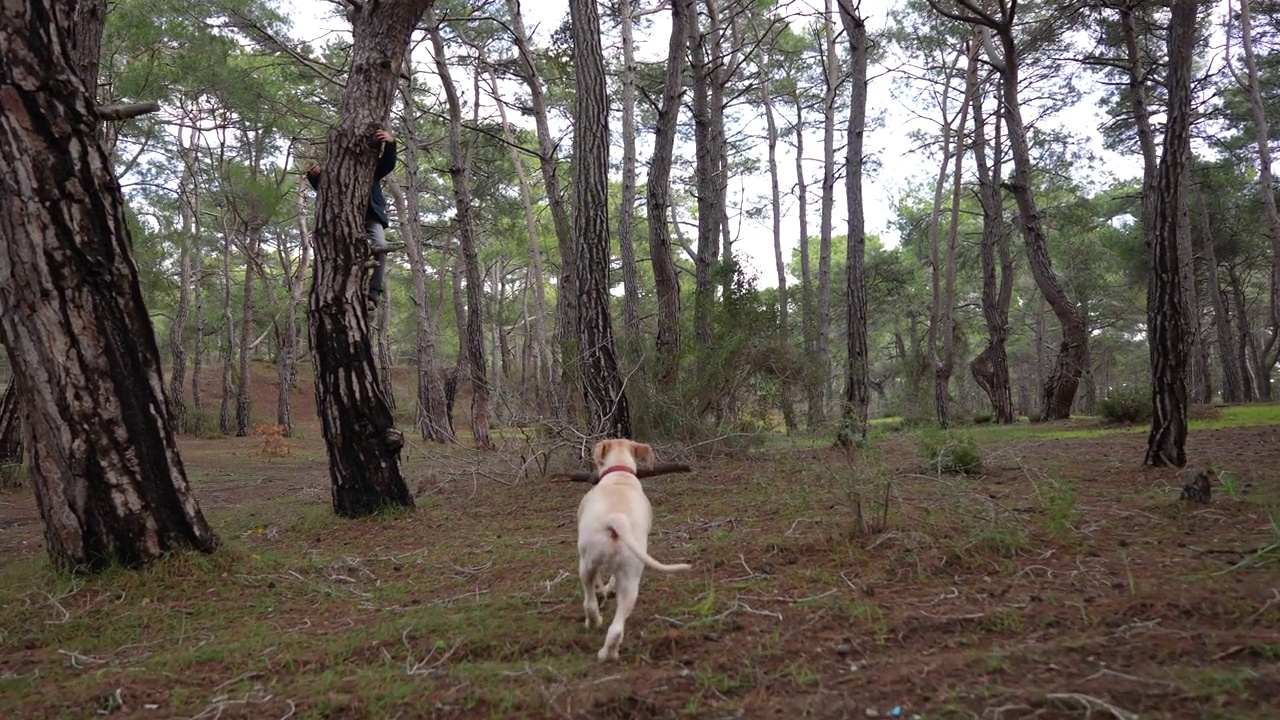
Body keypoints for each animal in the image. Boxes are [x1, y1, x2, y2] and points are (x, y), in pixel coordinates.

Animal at [576, 435, 691, 661]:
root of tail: (617, 519)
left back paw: (594, 623)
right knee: (616, 628)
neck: (620, 474)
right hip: (630, 577)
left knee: (590, 602)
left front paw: (602, 590)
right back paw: (609, 654)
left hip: (585, 565)